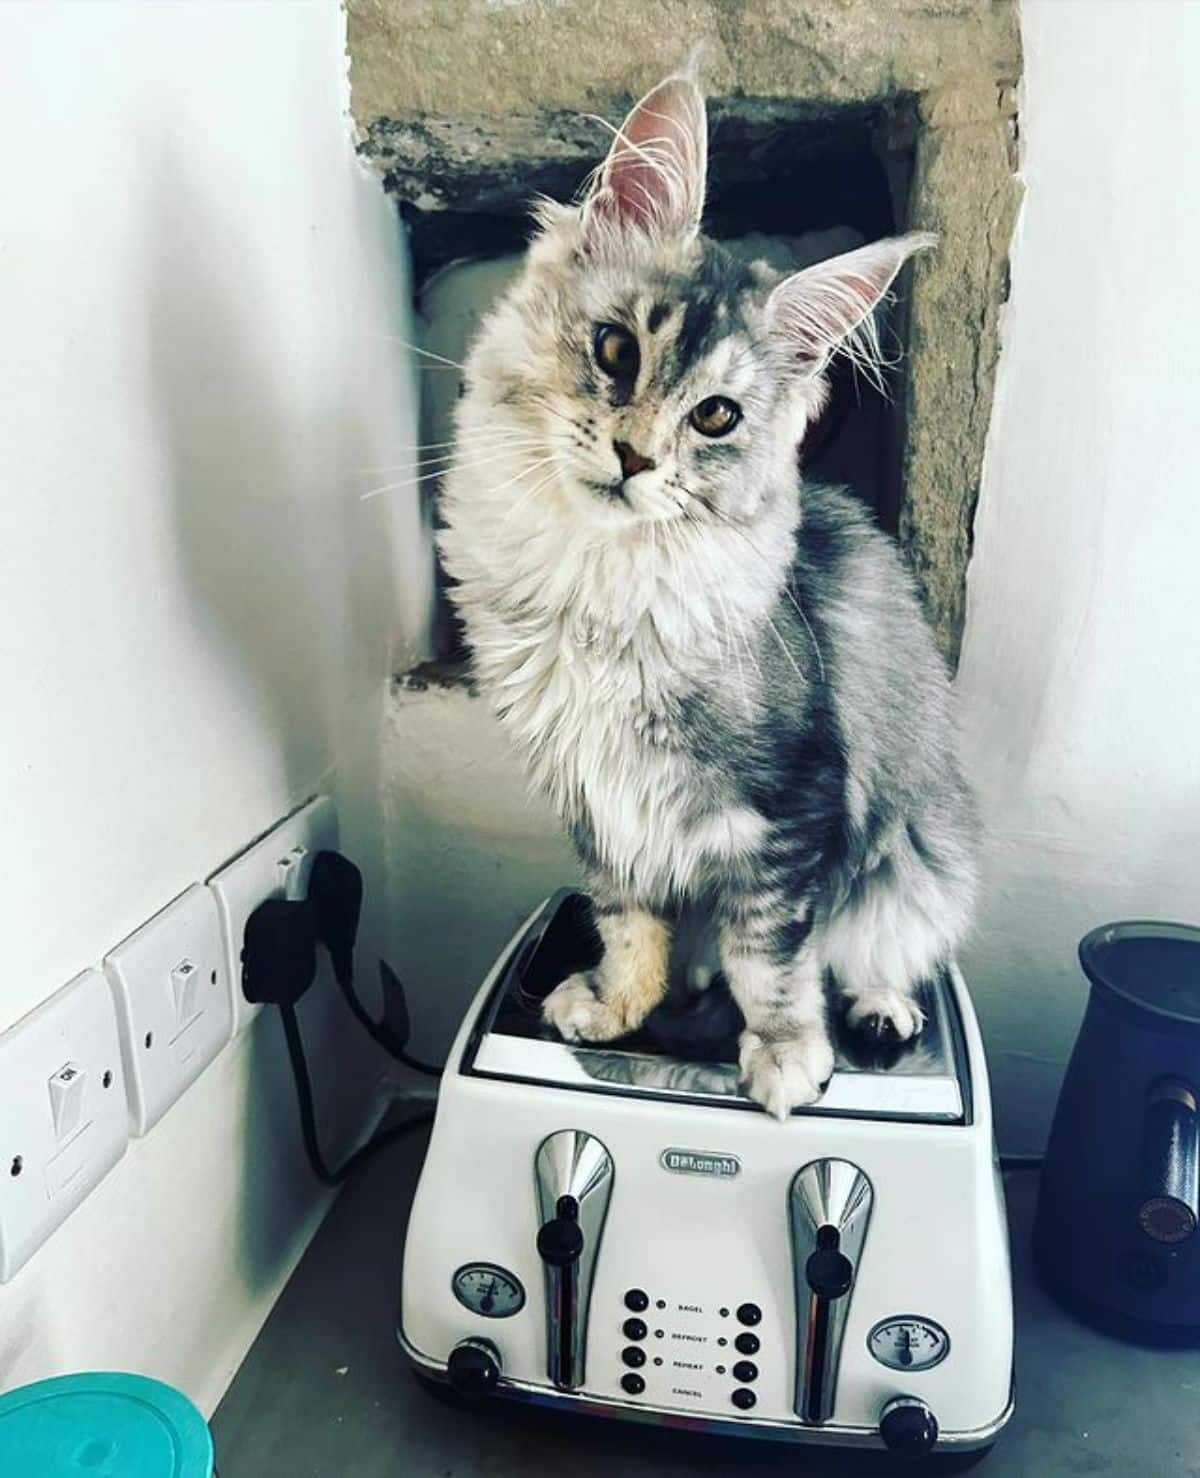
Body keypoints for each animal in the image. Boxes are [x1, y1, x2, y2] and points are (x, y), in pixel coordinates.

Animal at [434, 69, 981, 1117]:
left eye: (716, 417)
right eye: (614, 351)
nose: (636, 456)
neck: (597, 590)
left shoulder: (789, 807)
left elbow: (772, 955)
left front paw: (785, 1062)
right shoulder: (598, 801)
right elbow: (628, 920)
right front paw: (618, 1006)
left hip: (920, 858)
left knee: (881, 947)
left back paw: (883, 1010)